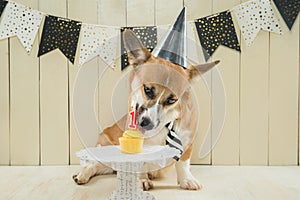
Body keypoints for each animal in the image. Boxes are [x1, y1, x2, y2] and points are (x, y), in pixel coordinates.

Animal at [71, 29, 219, 191]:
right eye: (147, 90)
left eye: (171, 100)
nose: (146, 123)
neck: (163, 126)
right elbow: (139, 161)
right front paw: (141, 180)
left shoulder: (187, 141)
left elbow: (183, 163)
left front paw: (187, 179)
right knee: (93, 164)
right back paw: (81, 175)